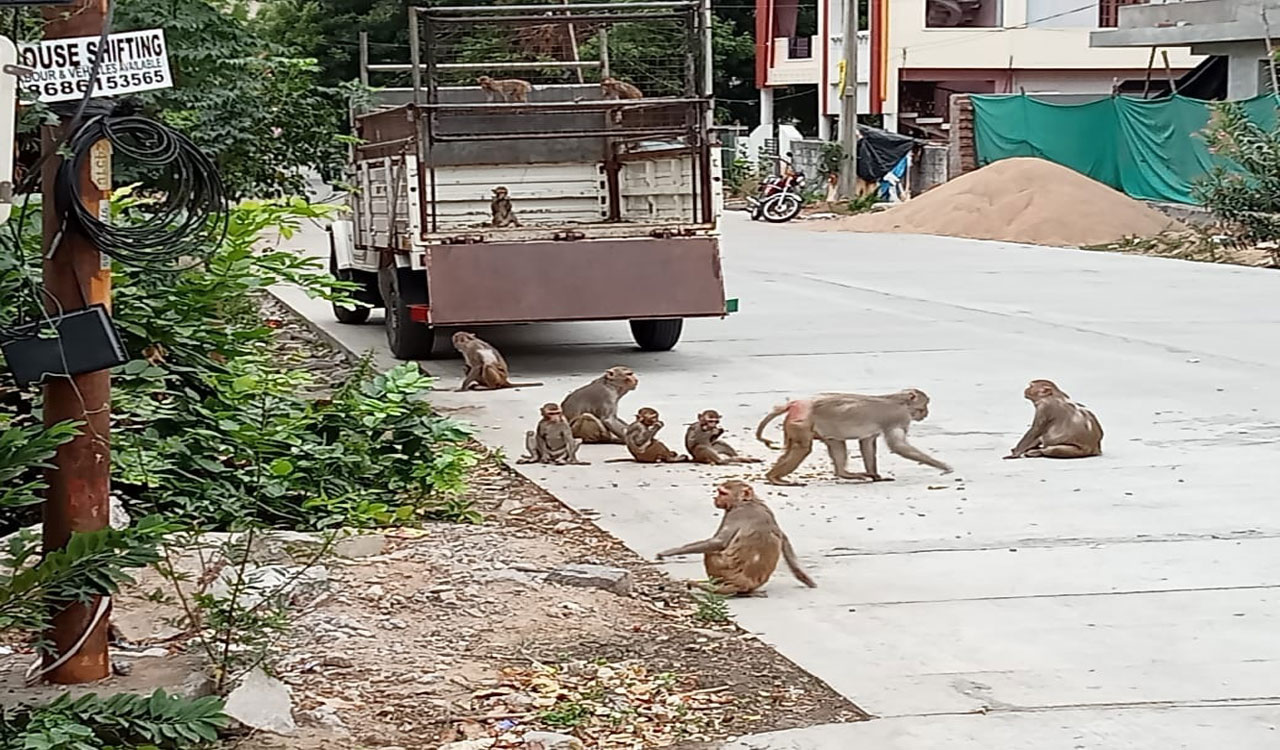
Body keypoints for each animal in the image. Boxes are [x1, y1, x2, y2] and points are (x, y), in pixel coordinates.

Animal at [656, 480, 815, 596]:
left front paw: (669, 552)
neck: (747, 501)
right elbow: (784, 539)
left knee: (710, 553)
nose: (715, 498)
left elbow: (719, 542)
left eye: (722, 493)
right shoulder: (768, 511)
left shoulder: (735, 514)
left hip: (724, 569)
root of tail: (743, 584)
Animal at [754, 389, 952, 487]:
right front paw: (943, 466)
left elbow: (867, 443)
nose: (926, 413)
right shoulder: (899, 417)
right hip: (801, 423)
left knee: (835, 443)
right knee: (803, 448)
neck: (899, 401)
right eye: (925, 405)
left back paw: (844, 473)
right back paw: (775, 478)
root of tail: (796, 403)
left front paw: (876, 476)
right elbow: (898, 446)